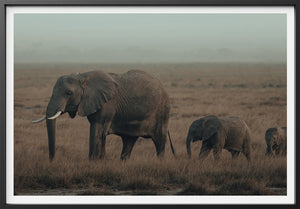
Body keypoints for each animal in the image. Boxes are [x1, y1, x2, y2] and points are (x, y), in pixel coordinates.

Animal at [32, 70, 176, 160]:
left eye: (68, 93)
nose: (51, 160)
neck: (83, 77)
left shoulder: (107, 104)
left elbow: (97, 131)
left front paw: (93, 163)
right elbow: (100, 134)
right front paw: (100, 161)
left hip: (162, 111)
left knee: (159, 141)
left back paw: (160, 163)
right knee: (128, 141)